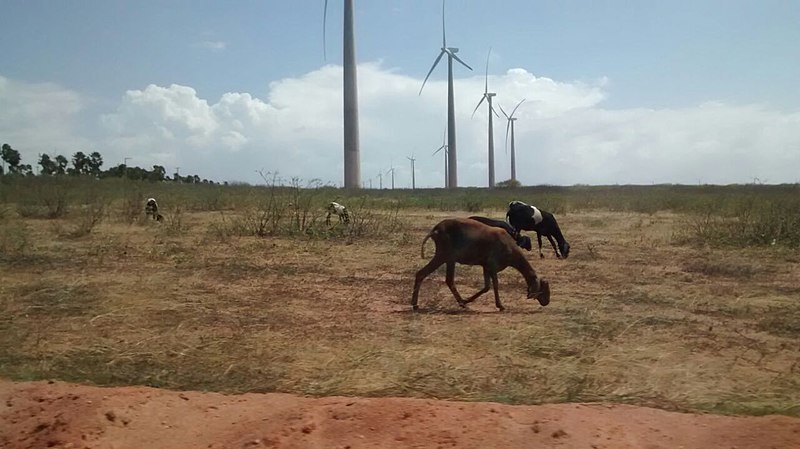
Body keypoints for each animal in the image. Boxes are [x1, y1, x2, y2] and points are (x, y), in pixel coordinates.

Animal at [412, 218, 552, 310]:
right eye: (544, 288)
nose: (547, 302)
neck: (510, 246)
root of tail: (435, 230)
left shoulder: (486, 266)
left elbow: (486, 287)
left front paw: (467, 300)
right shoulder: (493, 265)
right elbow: (495, 285)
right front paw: (500, 305)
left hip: (450, 259)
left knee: (449, 280)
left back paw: (461, 302)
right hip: (442, 255)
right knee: (421, 274)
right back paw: (415, 304)